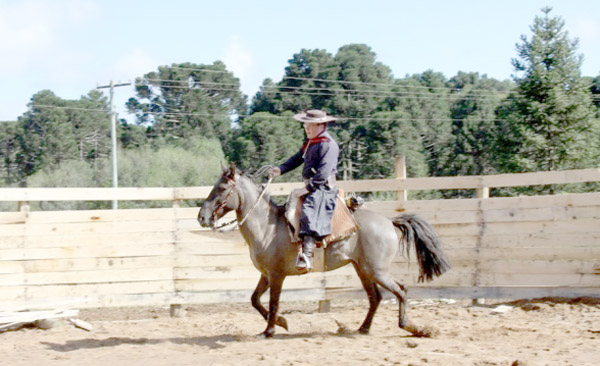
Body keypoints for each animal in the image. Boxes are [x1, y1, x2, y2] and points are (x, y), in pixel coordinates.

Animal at [198, 164, 450, 338]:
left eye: (222, 188)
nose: (202, 217)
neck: (267, 226)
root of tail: (389, 222)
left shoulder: (277, 276)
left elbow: (272, 303)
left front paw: (269, 330)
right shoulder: (266, 275)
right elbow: (254, 299)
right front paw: (281, 322)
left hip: (377, 270)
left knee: (401, 291)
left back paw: (412, 327)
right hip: (363, 269)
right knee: (375, 297)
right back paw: (362, 328)